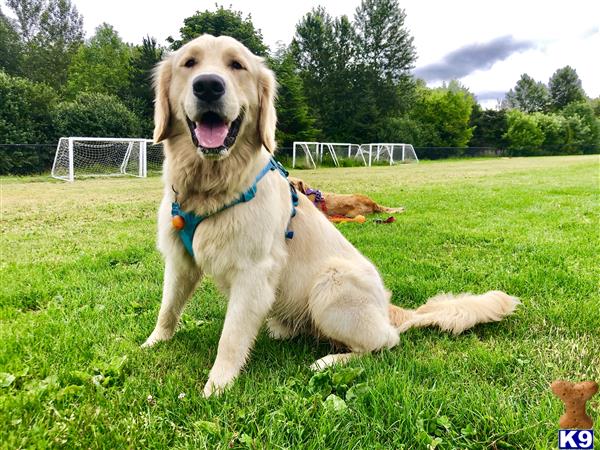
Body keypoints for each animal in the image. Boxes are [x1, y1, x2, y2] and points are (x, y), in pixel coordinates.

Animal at [142, 36, 520, 398]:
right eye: (189, 63)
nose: (208, 86)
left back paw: (328, 361)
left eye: (237, 65)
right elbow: (167, 308)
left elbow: (231, 338)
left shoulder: (254, 273)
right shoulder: (180, 261)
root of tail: (389, 308)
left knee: (385, 342)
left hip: (331, 282)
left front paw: (216, 387)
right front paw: (153, 343)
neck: (211, 189)